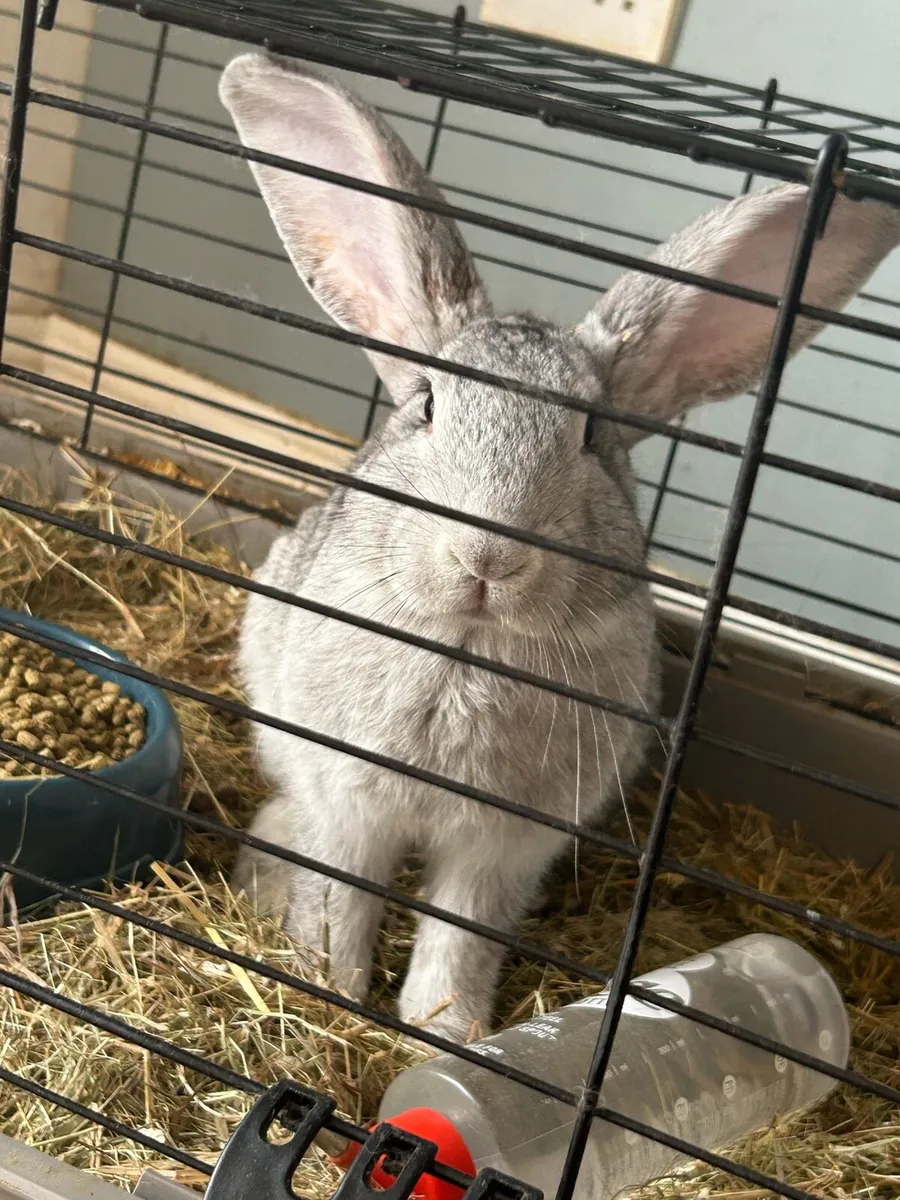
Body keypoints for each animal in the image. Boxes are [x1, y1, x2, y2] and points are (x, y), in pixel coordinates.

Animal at [219, 51, 900, 1042]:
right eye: (429, 405)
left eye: (589, 438)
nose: (487, 557)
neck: (469, 648)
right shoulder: (349, 804)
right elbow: (344, 898)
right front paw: (329, 989)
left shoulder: (506, 847)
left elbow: (459, 937)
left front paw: (448, 1031)